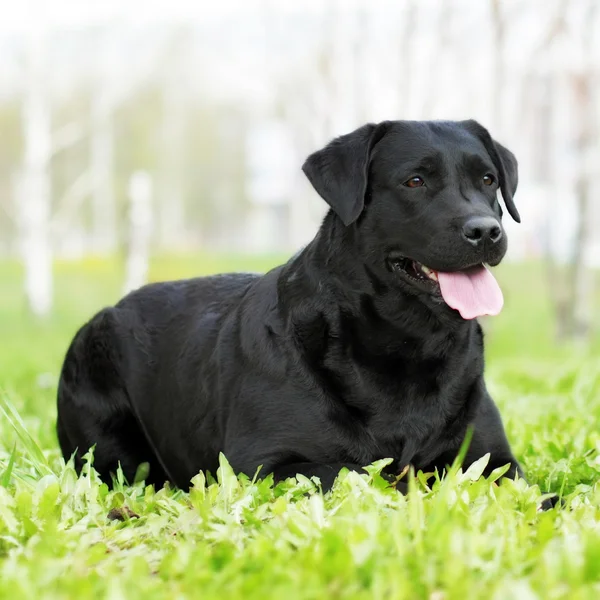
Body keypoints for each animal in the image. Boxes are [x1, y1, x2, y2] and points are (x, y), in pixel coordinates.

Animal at [56, 118, 536, 496]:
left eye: (488, 180)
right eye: (415, 181)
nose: (486, 231)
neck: (408, 345)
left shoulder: (496, 462)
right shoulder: (261, 464)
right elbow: (367, 474)